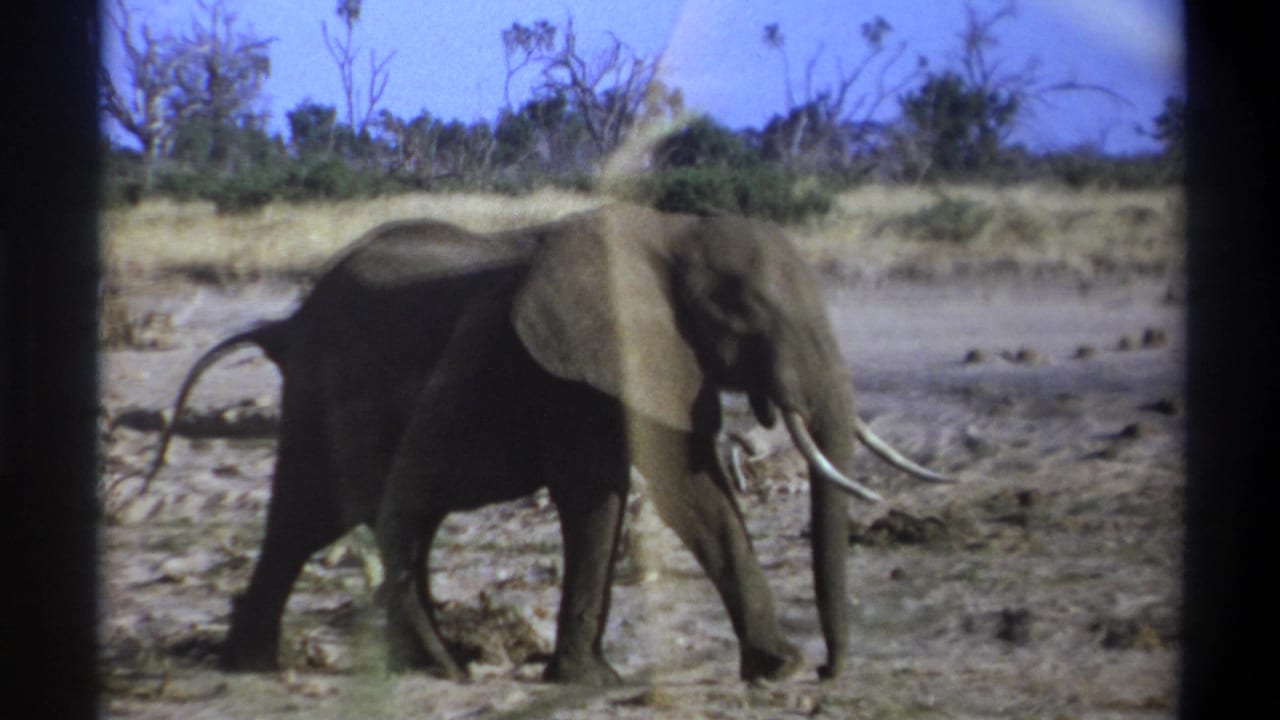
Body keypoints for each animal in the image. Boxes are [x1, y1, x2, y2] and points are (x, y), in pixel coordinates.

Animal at [146, 203, 955, 685]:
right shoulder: (574, 374)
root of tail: (285, 323)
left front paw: (765, 670)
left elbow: (684, 490)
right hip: (327, 400)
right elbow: (625, 494)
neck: (668, 230)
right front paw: (598, 682)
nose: (827, 673)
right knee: (319, 519)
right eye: (743, 309)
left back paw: (266, 666)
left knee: (333, 526)